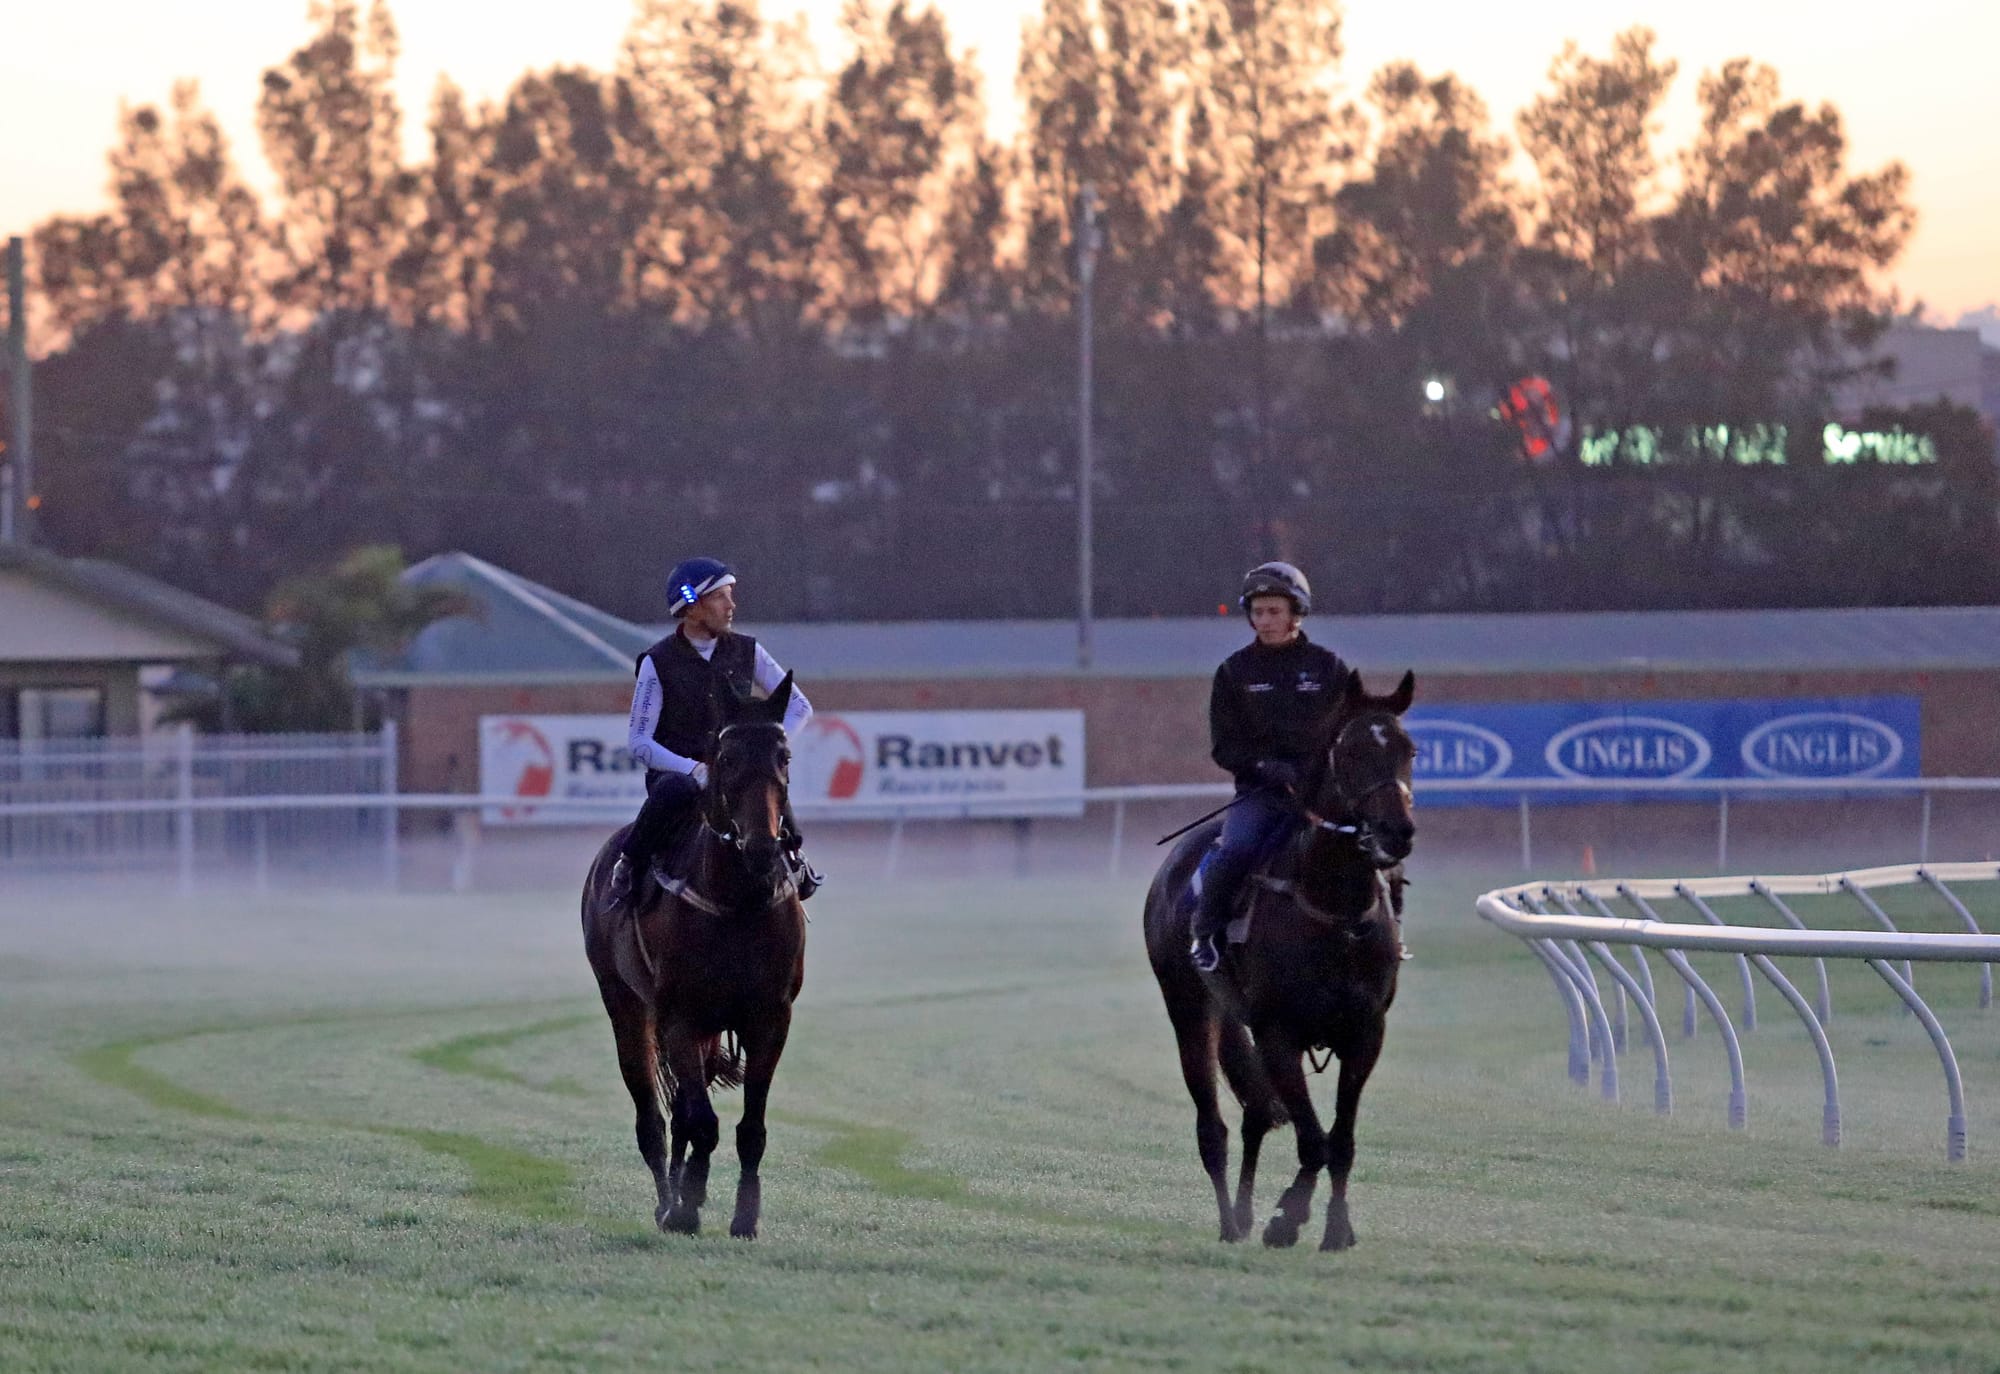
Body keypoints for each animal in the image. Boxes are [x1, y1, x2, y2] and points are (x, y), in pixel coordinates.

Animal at [580, 676, 804, 1240]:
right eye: (725, 756)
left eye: (784, 755)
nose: (763, 847)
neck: (737, 901)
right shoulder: (679, 1016)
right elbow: (699, 1121)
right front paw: (683, 1209)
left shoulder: (770, 1018)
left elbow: (749, 1128)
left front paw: (743, 1216)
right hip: (626, 1005)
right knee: (654, 1118)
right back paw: (668, 1201)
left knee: (683, 1108)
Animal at [1144, 672, 1424, 1256]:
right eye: (1352, 749)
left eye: (1409, 749)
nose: (1397, 831)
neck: (1333, 910)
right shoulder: (1279, 1032)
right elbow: (1313, 1141)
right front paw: (1288, 1219)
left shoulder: (1365, 1033)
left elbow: (1339, 1141)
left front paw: (1336, 1229)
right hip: (1189, 1008)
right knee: (1213, 1128)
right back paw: (1231, 1223)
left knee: (1255, 1115)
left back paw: (1245, 1214)